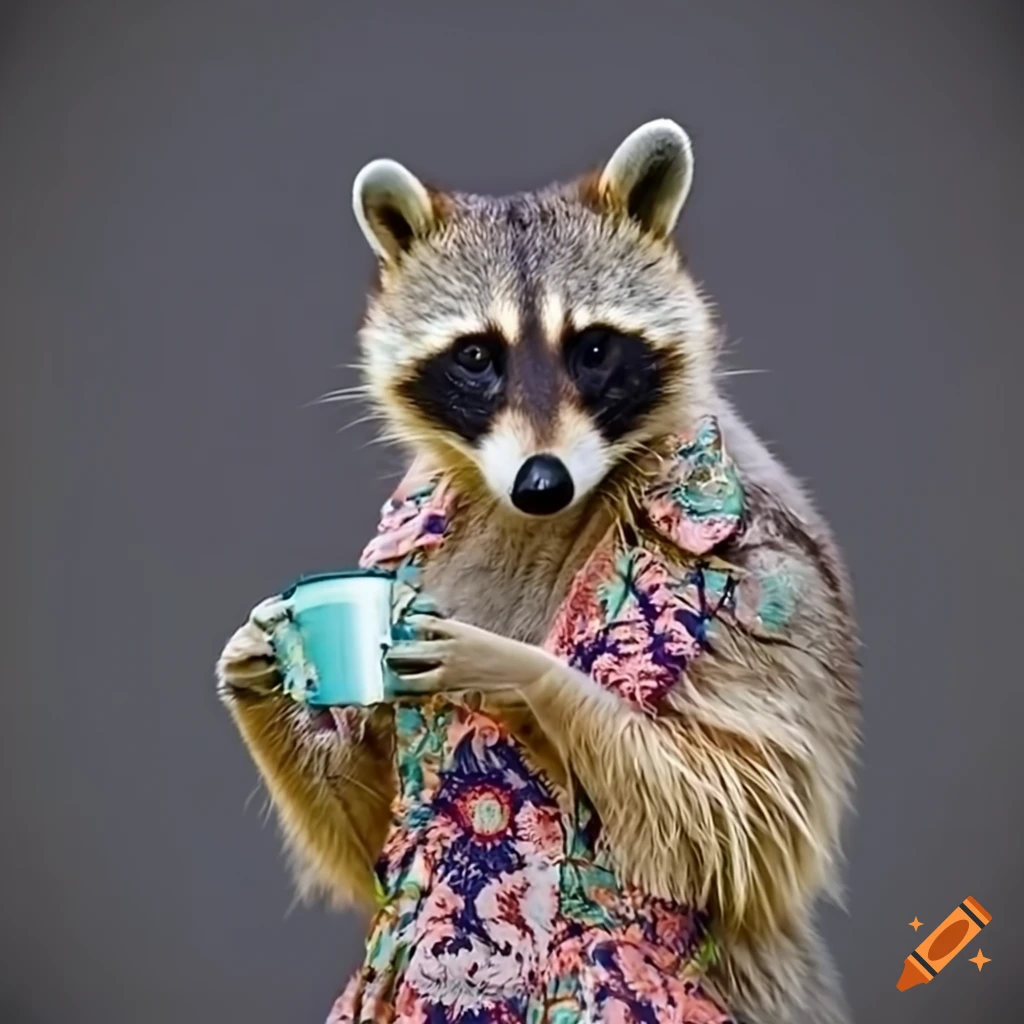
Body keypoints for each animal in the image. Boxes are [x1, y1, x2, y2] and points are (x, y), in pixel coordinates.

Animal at [217, 120, 860, 1024]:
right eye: (476, 356)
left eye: (592, 348)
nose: (541, 483)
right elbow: (371, 824)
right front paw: (260, 667)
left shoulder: (770, 563)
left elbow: (741, 815)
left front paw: (518, 674)